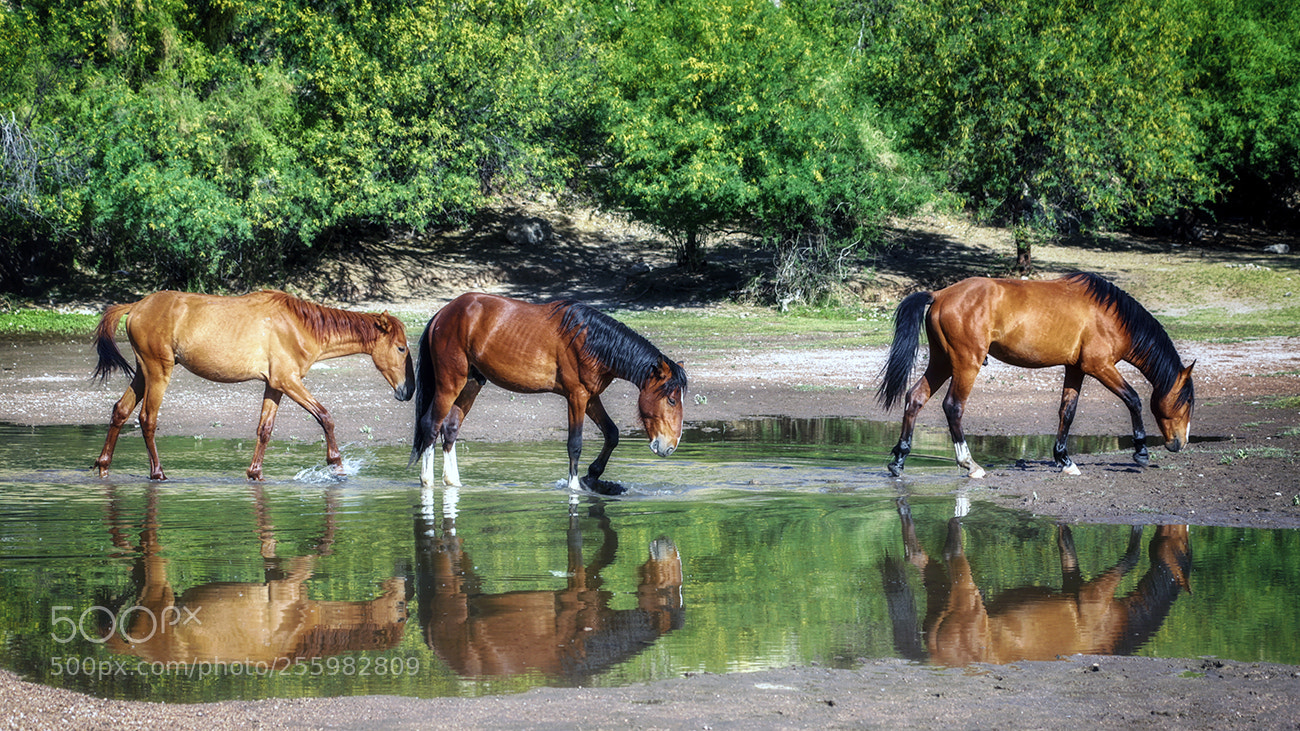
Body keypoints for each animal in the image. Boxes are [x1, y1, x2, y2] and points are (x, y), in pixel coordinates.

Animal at [91, 290, 415, 481]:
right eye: (401, 348)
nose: (407, 391)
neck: (301, 326)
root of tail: (137, 305)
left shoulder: (275, 385)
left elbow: (265, 429)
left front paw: (255, 472)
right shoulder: (289, 381)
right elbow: (325, 417)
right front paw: (336, 465)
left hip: (143, 373)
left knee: (120, 411)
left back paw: (103, 465)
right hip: (158, 371)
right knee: (147, 418)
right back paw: (157, 473)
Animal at [410, 292, 687, 495]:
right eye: (672, 399)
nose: (670, 447)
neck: (590, 340)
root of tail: (443, 314)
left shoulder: (591, 398)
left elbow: (612, 434)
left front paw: (592, 476)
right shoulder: (576, 397)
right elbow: (575, 443)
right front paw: (574, 486)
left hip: (470, 384)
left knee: (450, 429)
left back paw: (453, 482)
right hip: (449, 383)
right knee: (430, 425)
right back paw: (427, 482)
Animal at [877, 273, 1195, 478]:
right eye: (1188, 402)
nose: (1180, 443)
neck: (1111, 316)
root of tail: (940, 294)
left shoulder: (1076, 369)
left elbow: (1068, 411)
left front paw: (1064, 459)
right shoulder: (1100, 366)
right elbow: (1133, 399)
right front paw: (1141, 451)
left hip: (942, 362)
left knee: (915, 398)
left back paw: (899, 460)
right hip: (966, 364)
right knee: (953, 407)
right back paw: (970, 465)